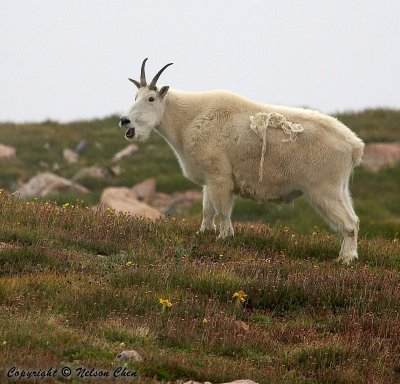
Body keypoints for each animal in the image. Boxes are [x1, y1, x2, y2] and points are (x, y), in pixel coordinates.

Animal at [119, 59, 366, 264]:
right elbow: (207, 210)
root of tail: (354, 146)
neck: (187, 120)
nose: (124, 121)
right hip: (340, 188)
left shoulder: (219, 176)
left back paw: (344, 259)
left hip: (323, 189)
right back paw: (349, 256)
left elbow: (222, 210)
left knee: (348, 223)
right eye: (135, 97)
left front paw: (224, 237)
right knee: (354, 218)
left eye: (151, 98)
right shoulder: (210, 178)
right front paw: (203, 233)